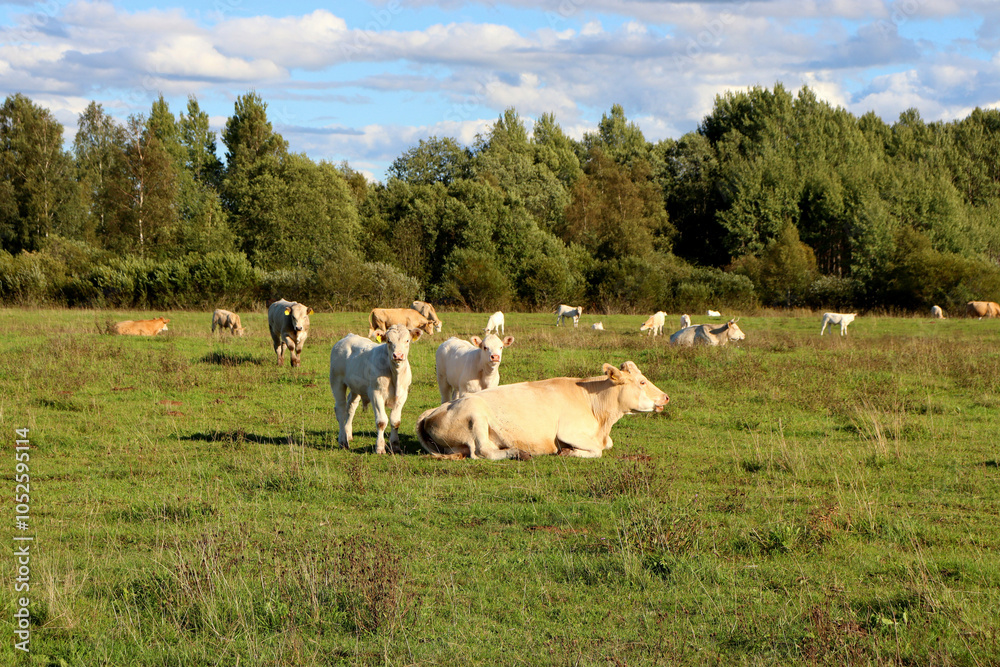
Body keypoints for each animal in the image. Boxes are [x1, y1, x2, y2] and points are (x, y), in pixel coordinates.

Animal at [329, 325, 424, 454]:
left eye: (407, 340)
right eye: (389, 341)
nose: (398, 355)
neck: (395, 375)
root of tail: (348, 337)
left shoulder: (402, 395)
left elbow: (395, 421)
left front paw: (395, 446)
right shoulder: (376, 394)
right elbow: (381, 421)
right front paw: (379, 448)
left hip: (356, 386)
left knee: (351, 407)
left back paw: (348, 434)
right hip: (337, 381)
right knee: (341, 410)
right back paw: (343, 441)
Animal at [415, 361, 668, 460]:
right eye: (642, 382)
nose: (665, 397)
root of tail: (433, 410)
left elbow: (606, 446)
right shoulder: (567, 432)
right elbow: (597, 450)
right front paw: (569, 452)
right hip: (476, 413)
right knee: (482, 451)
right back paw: (516, 453)